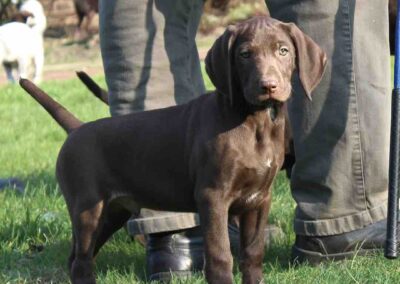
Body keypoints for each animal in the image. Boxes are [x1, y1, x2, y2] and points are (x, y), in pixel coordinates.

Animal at [19, 16, 324, 282]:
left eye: (283, 51)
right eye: (245, 55)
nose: (268, 86)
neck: (255, 123)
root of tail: (77, 128)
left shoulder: (259, 200)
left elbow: (252, 255)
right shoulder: (213, 197)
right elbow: (220, 256)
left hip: (112, 212)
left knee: (77, 258)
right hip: (87, 208)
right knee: (81, 262)